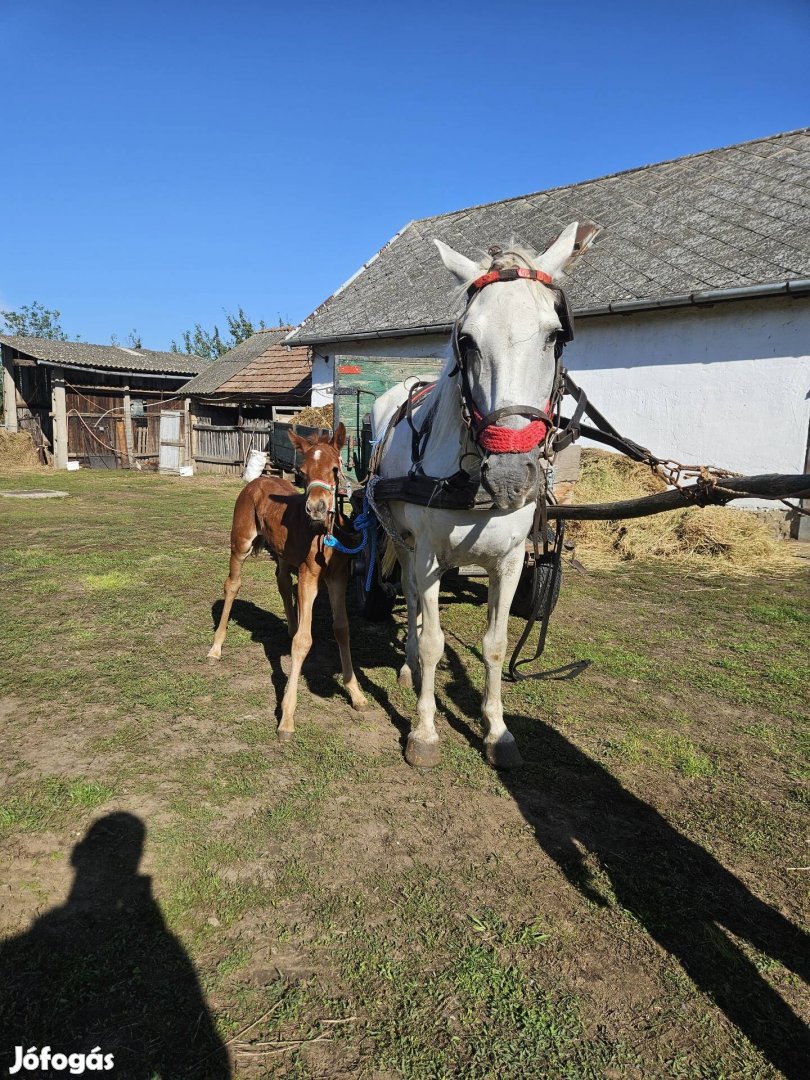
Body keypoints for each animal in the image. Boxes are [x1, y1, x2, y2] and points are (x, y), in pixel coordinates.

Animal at [212, 425, 371, 738]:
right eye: (303, 472)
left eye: (335, 469)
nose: (316, 508)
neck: (324, 534)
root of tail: (257, 481)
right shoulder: (309, 575)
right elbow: (304, 641)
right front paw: (286, 718)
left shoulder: (338, 577)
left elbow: (342, 629)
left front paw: (356, 693)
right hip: (241, 543)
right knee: (232, 585)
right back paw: (215, 648)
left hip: (284, 554)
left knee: (283, 582)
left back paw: (291, 625)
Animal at [373, 223, 583, 773]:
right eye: (465, 339)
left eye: (556, 335)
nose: (510, 476)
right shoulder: (427, 554)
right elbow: (431, 642)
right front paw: (423, 732)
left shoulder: (508, 563)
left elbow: (495, 644)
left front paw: (498, 730)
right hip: (400, 541)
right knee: (408, 593)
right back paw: (407, 665)